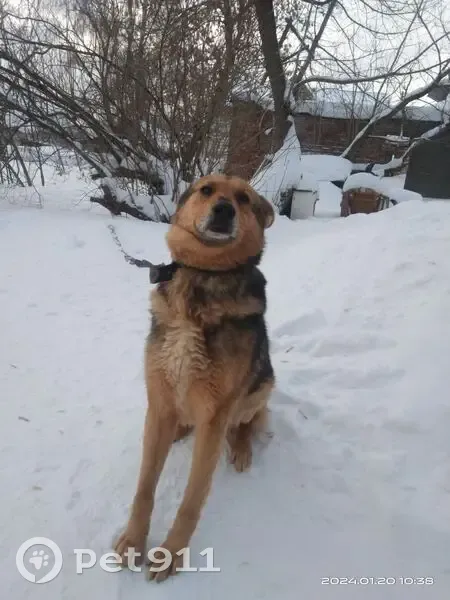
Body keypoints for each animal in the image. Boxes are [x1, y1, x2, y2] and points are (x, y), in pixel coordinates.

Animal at [114, 174, 275, 581]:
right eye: (207, 190)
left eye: (244, 199)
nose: (224, 209)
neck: (204, 276)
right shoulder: (158, 398)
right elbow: (144, 489)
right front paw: (133, 541)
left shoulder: (215, 417)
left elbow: (190, 501)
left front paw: (170, 555)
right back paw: (180, 428)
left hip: (262, 385)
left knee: (248, 421)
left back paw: (242, 446)